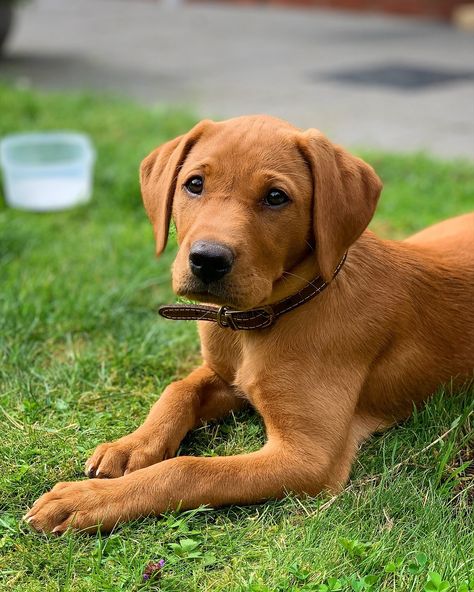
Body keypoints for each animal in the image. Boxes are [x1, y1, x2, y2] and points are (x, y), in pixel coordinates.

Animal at [25, 114, 474, 532]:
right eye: (194, 184)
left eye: (276, 197)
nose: (207, 259)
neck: (260, 321)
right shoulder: (227, 376)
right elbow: (178, 390)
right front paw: (131, 446)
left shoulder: (308, 456)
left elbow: (190, 469)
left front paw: (85, 499)